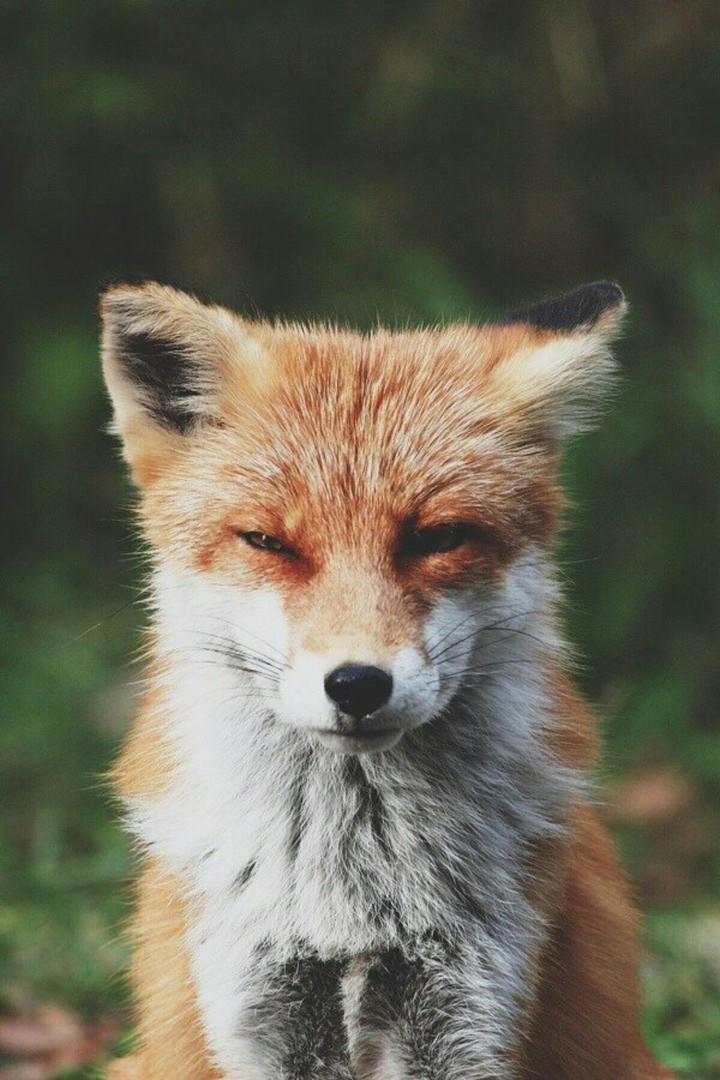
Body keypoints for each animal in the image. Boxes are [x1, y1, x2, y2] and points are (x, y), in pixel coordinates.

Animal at [100, 279, 673, 1079]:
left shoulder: (471, 1017)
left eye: (436, 538)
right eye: (268, 542)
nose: (357, 683)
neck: (354, 893)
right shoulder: (258, 1014)